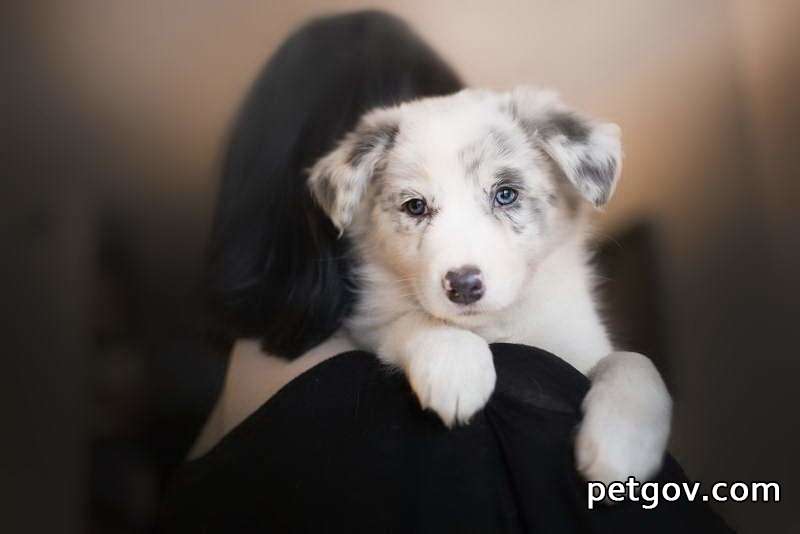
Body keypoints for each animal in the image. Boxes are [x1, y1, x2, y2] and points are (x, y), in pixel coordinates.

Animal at [310, 87, 672, 486]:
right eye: (415, 206)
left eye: (506, 195)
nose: (464, 286)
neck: (496, 324)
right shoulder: (370, 324)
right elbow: (417, 320)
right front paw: (456, 366)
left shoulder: (578, 346)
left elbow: (632, 360)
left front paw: (622, 443)